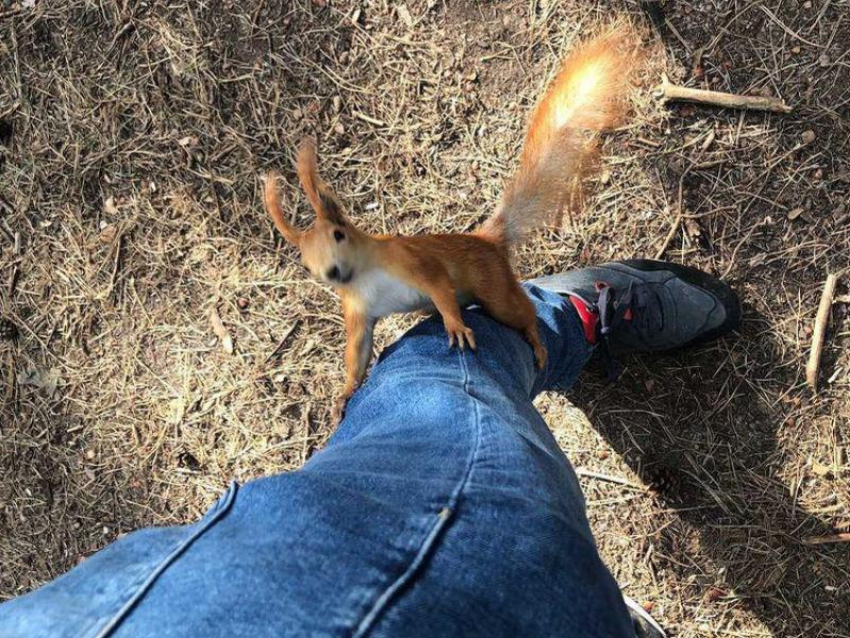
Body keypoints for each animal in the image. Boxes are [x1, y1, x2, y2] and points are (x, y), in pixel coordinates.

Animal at [262, 23, 640, 420]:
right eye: (305, 266)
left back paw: (536, 342)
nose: (333, 272)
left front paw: (455, 325)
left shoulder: (411, 260)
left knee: (522, 313)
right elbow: (358, 354)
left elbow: (439, 284)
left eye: (339, 234)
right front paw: (345, 394)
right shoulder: (358, 312)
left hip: (494, 288)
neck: (365, 275)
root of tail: (487, 241)